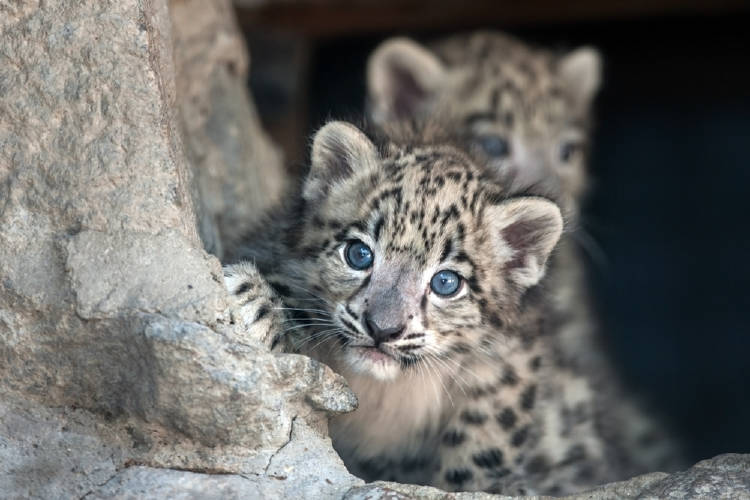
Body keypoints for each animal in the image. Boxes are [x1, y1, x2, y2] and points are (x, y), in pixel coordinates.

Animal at [223, 120, 637, 495]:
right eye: (359, 254)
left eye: (446, 283)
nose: (382, 329)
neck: (383, 394)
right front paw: (257, 299)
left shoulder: (509, 365)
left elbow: (489, 431)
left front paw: (485, 483)